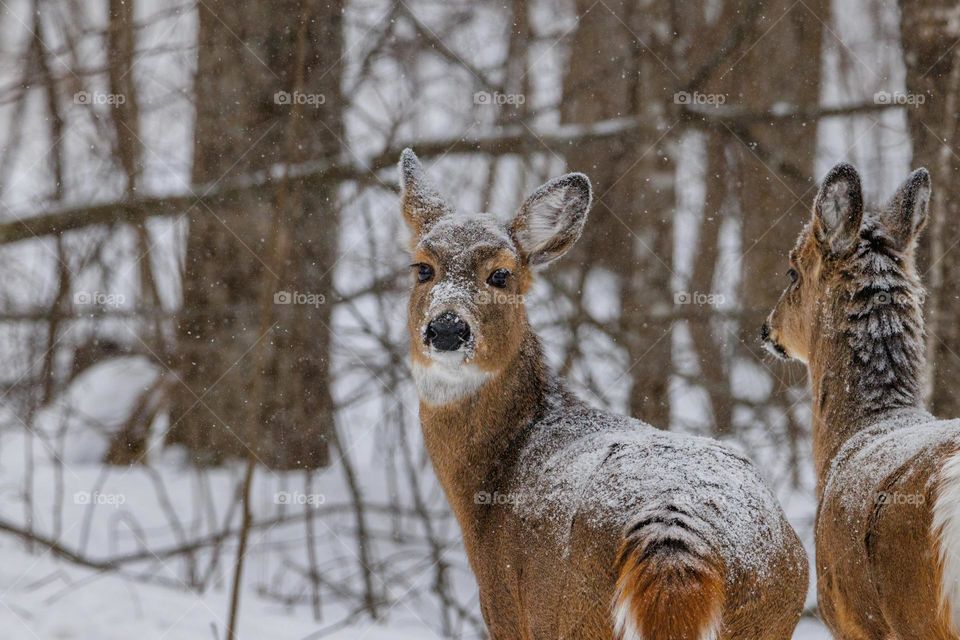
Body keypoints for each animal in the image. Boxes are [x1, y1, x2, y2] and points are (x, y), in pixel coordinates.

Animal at [398, 148, 808, 640]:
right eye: (423, 268)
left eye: (500, 275)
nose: (446, 328)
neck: (503, 463)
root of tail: (676, 531)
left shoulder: (506, 611)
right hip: (774, 609)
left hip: (575, 611)